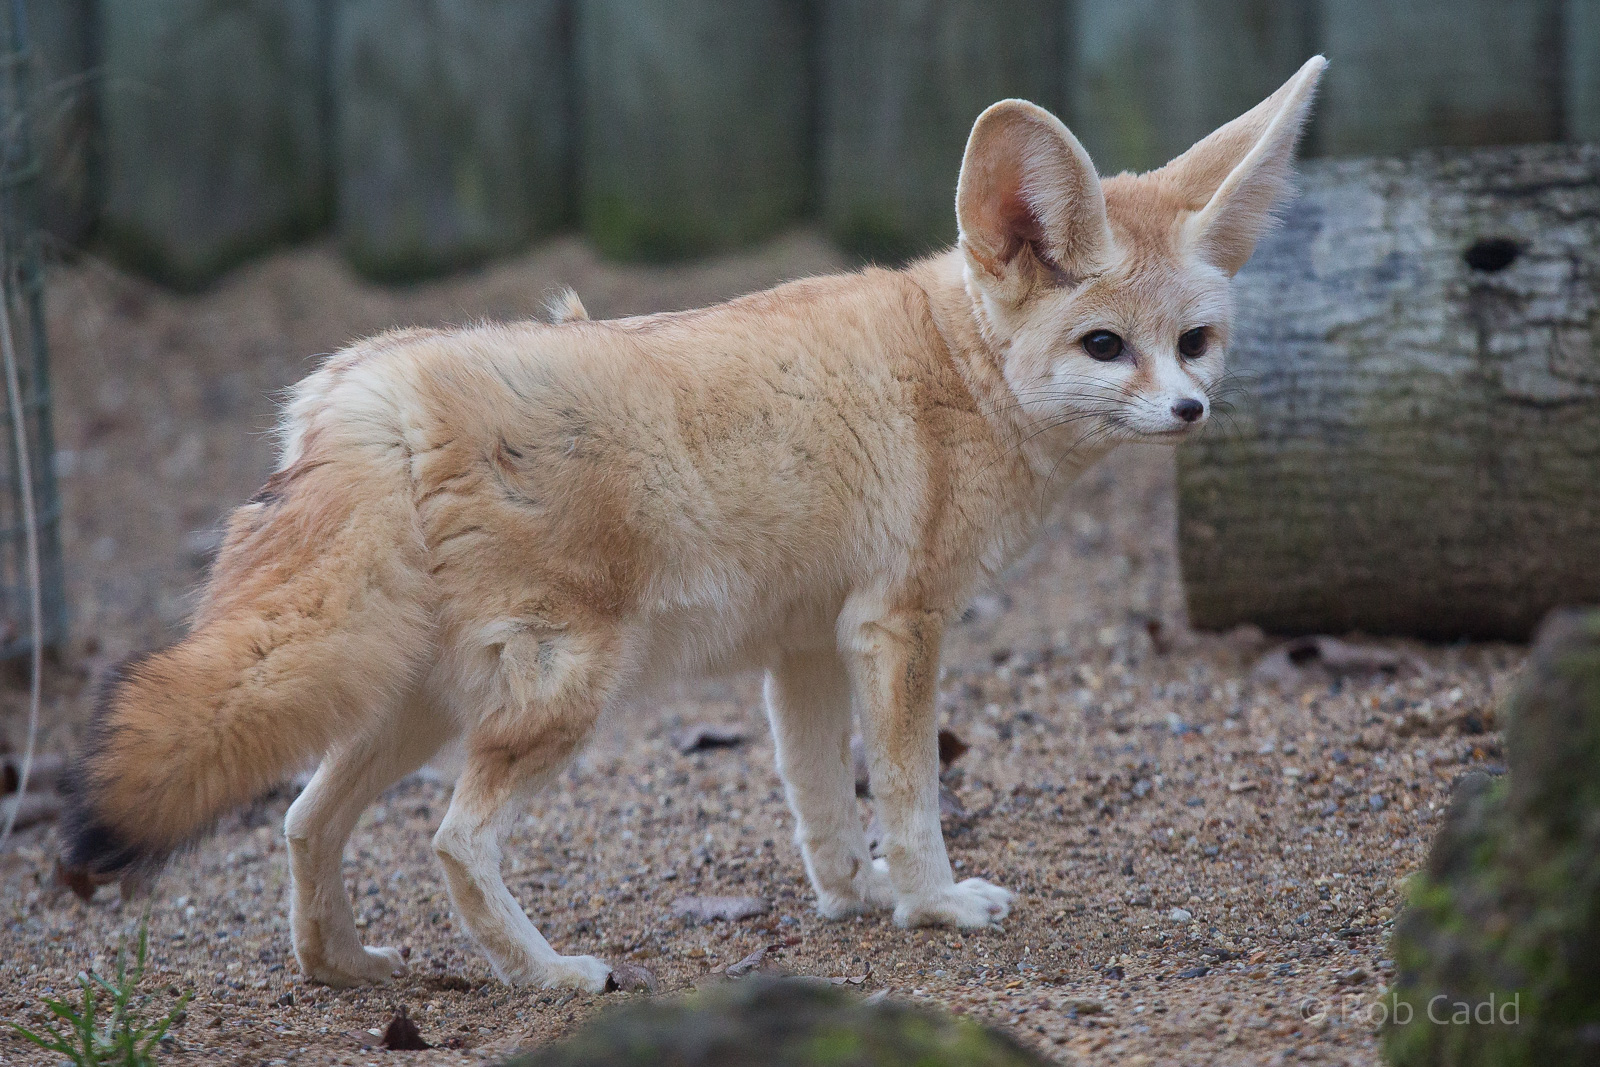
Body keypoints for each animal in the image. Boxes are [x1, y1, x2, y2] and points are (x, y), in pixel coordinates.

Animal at [62, 57, 1325, 992]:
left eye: (1194, 343)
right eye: (1105, 347)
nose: (1190, 410)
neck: (957, 366)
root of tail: (368, 385)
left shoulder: (807, 643)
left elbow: (824, 805)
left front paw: (855, 898)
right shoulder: (901, 626)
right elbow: (909, 793)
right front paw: (930, 902)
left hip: (412, 705)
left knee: (302, 820)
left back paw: (347, 966)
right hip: (563, 691)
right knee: (454, 840)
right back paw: (549, 976)